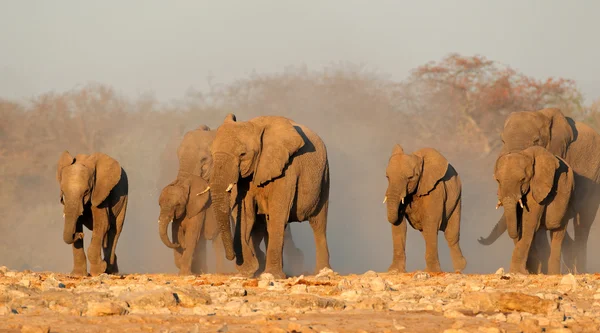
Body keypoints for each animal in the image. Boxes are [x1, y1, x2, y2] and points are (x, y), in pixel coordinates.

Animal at [205, 113, 328, 278]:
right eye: (211, 154)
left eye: (243, 154)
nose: (231, 257)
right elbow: (247, 215)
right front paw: (250, 271)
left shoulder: (287, 168)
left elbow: (278, 213)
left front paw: (271, 275)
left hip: (324, 177)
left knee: (318, 224)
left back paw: (323, 272)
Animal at [384, 144, 468, 272]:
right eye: (387, 177)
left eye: (410, 177)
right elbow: (399, 225)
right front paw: (394, 271)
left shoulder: (435, 190)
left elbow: (431, 221)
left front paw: (432, 271)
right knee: (427, 234)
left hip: (457, 197)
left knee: (450, 235)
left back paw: (460, 268)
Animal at [480, 107, 600, 274]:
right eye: (502, 141)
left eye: (536, 140)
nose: (479, 239)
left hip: (595, 179)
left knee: (583, 222)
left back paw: (579, 270)